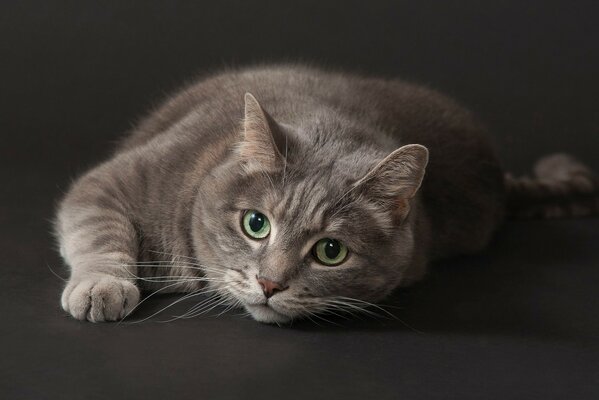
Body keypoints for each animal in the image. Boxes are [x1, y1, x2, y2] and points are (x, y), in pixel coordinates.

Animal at [54, 64, 596, 324]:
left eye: (330, 251)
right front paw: (102, 288)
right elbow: (98, 229)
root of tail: (497, 176)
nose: (270, 284)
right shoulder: (117, 180)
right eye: (255, 224)